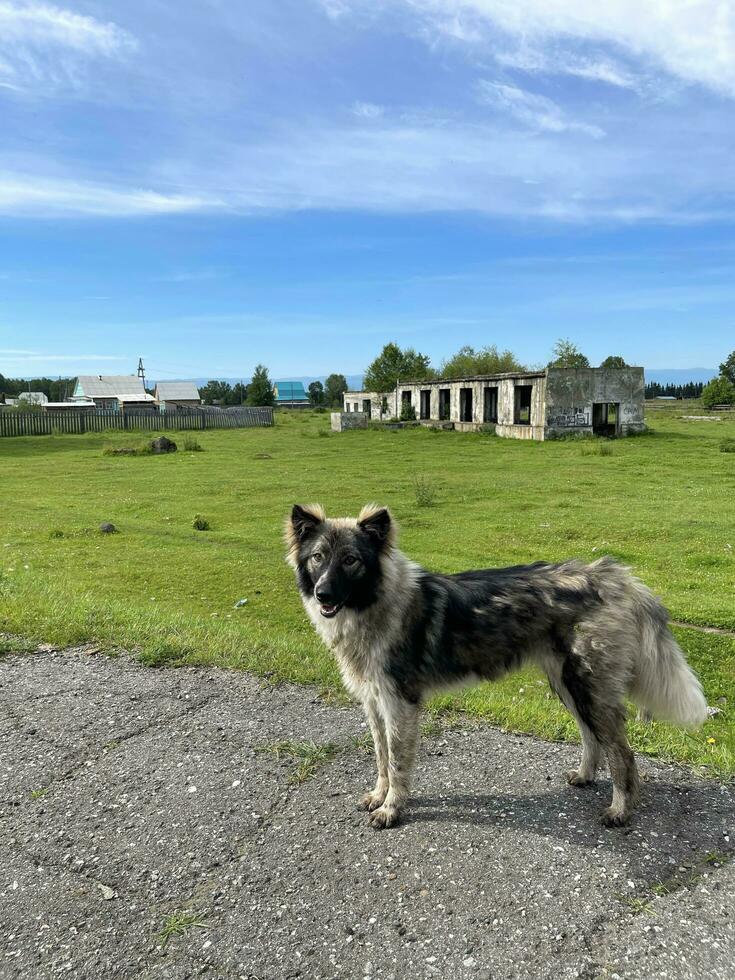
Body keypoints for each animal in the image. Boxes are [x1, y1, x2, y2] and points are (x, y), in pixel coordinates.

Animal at [286, 502, 708, 832]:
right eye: (318, 557)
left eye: (351, 560)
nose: (323, 594)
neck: (376, 603)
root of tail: (615, 576)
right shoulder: (374, 703)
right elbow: (381, 759)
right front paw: (378, 795)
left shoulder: (399, 704)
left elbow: (398, 762)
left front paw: (392, 809)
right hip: (568, 684)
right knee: (592, 737)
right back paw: (585, 777)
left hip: (590, 688)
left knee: (622, 755)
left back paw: (620, 810)